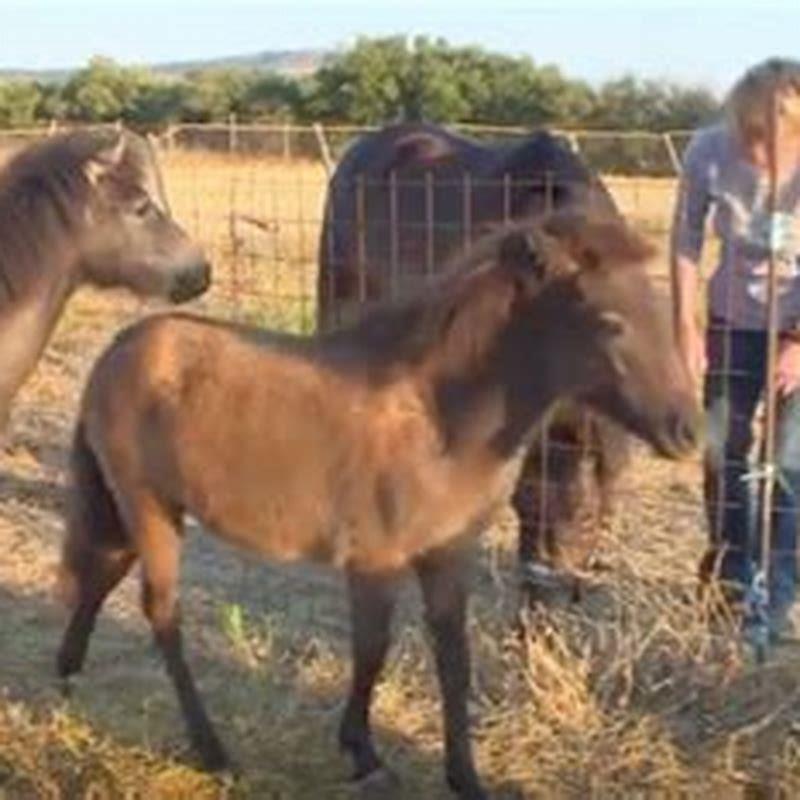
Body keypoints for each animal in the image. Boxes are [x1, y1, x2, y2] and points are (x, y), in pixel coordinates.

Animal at [55, 210, 698, 800]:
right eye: (611, 322)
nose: (687, 432)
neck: (440, 417)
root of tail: (115, 352)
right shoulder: (374, 558)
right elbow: (372, 650)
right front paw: (363, 754)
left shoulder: (447, 556)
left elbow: (453, 660)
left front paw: (465, 778)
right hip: (148, 508)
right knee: (163, 612)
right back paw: (212, 751)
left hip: (137, 510)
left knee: (101, 574)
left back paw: (67, 677)